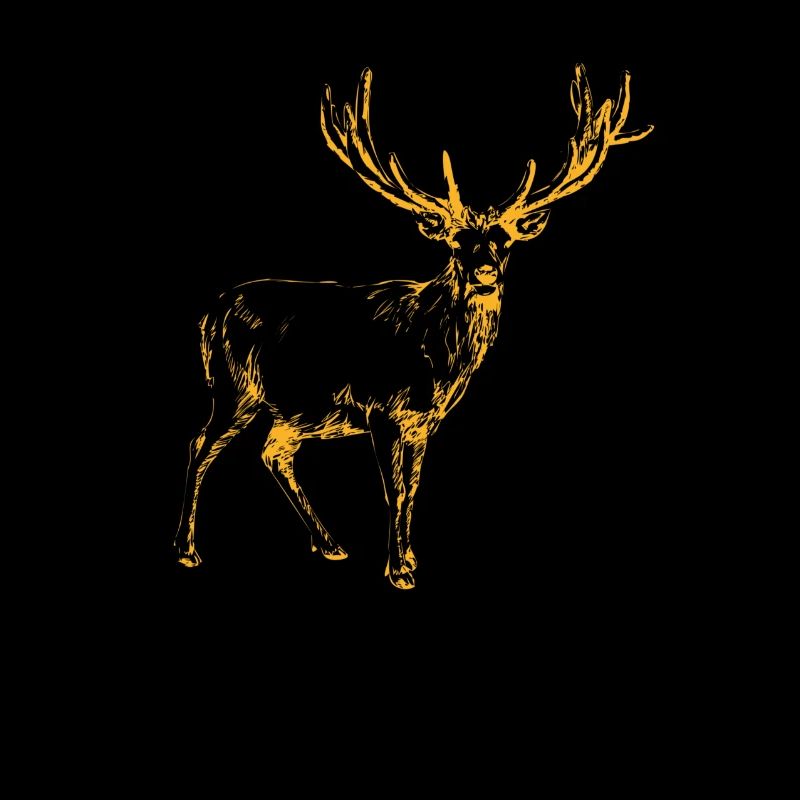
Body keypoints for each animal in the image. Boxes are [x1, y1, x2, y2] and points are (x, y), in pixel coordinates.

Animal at [174, 64, 653, 589]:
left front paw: (410, 558)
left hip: (295, 412)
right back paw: (187, 550)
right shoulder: (382, 408)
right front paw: (399, 570)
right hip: (235, 386)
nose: (486, 273)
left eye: (504, 241)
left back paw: (330, 544)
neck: (436, 357)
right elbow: (393, 491)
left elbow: (414, 490)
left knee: (273, 453)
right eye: (456, 241)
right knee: (201, 445)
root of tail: (210, 313)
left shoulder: (424, 422)